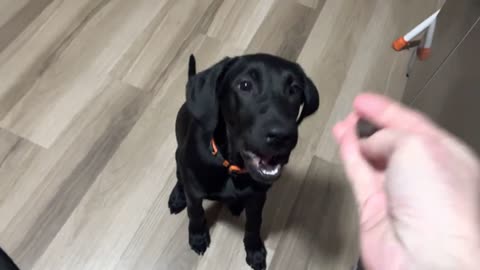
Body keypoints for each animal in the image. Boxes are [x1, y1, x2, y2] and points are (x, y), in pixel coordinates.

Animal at [169, 53, 318, 270]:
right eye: (245, 85)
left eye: (294, 88)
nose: (283, 137)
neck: (231, 166)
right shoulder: (194, 190)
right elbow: (195, 212)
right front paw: (197, 236)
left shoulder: (257, 198)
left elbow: (254, 225)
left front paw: (254, 250)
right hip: (178, 156)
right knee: (180, 178)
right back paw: (178, 196)